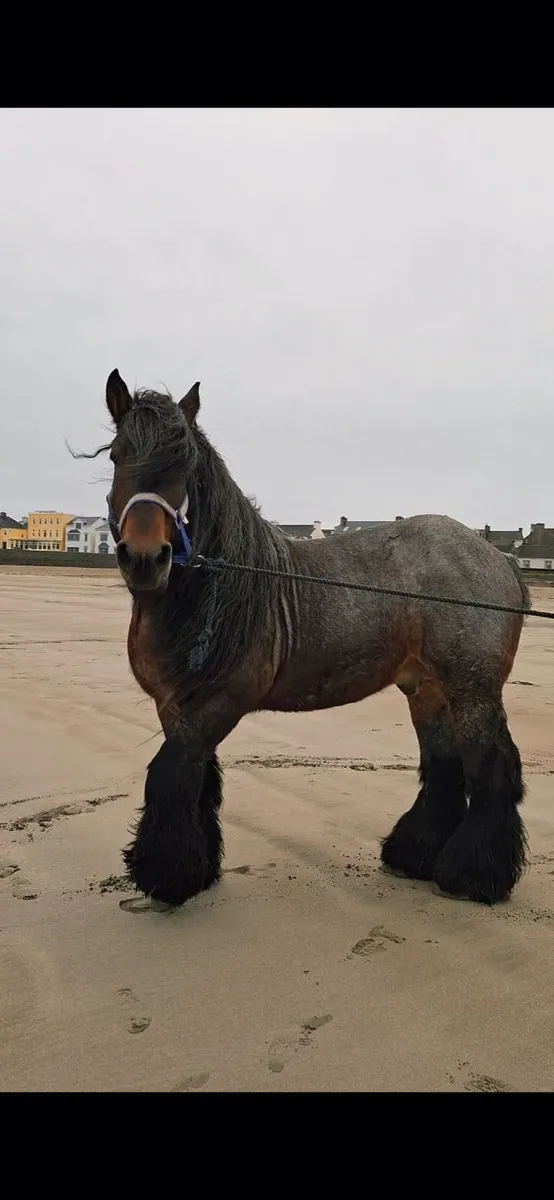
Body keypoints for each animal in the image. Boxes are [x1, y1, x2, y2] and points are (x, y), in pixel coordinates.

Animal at [80, 369, 530, 908]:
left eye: (184, 464)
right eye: (117, 455)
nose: (146, 558)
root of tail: (497, 556)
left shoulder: (221, 701)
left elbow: (170, 776)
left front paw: (165, 877)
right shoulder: (173, 705)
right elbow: (197, 780)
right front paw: (198, 870)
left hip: (472, 690)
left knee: (491, 765)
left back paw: (474, 875)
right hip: (427, 689)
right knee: (444, 764)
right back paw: (414, 855)